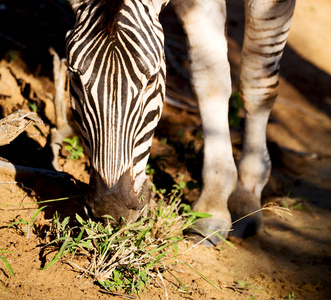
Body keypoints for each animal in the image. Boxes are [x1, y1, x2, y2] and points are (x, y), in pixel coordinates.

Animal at [66, 0, 296, 246]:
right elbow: (210, 81)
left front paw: (246, 197)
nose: (111, 209)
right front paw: (213, 205)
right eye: (74, 77)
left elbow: (256, 83)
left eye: (152, 79)